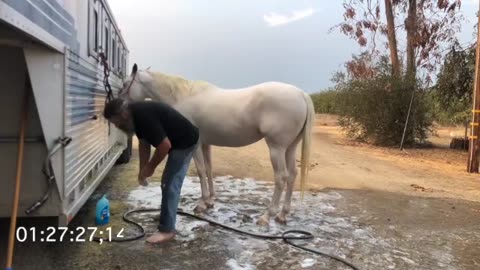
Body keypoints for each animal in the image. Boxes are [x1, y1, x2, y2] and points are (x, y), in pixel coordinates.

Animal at [119, 64, 316, 225]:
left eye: (125, 84)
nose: (119, 105)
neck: (182, 95)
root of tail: (300, 93)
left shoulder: (197, 144)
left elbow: (200, 171)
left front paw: (202, 203)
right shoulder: (206, 144)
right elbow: (209, 169)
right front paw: (210, 201)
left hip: (277, 148)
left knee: (281, 177)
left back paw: (267, 216)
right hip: (290, 147)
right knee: (292, 175)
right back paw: (283, 215)